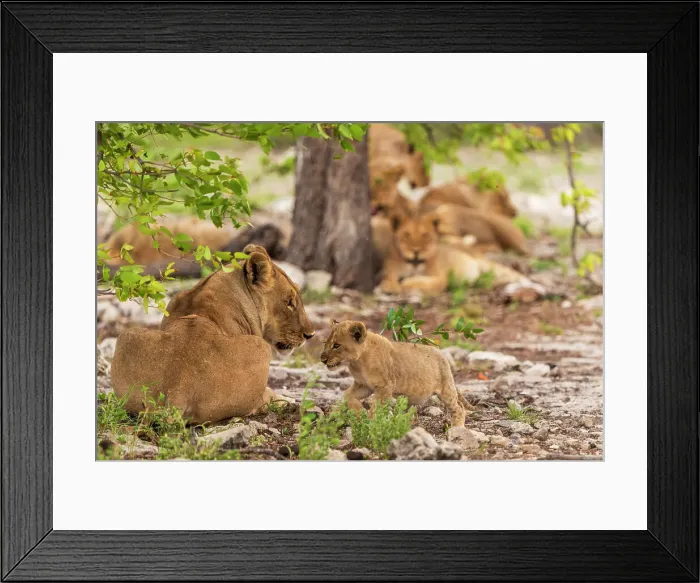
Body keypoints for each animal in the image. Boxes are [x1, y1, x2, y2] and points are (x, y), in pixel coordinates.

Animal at [320, 319, 466, 427]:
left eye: (336, 345)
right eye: (325, 343)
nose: (322, 360)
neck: (358, 362)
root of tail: (442, 354)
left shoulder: (385, 386)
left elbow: (376, 408)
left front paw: (370, 424)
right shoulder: (364, 385)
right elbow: (347, 395)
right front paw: (359, 412)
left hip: (446, 390)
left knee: (459, 407)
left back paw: (457, 428)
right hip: (412, 397)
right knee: (413, 413)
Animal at [379, 205, 531, 295]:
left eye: (425, 236)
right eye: (406, 235)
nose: (416, 251)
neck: (414, 265)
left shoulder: (441, 279)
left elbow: (425, 282)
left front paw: (406, 282)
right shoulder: (390, 269)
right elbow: (388, 277)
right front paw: (390, 285)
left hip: (487, 264)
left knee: (514, 274)